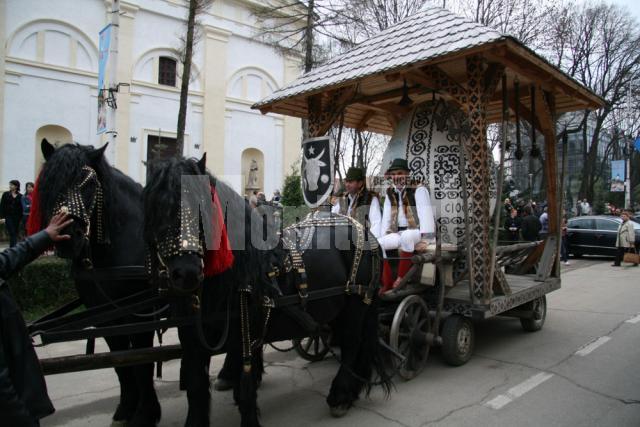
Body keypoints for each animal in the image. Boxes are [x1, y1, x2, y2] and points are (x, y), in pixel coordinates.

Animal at [30, 140, 161, 424]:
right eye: (50, 181)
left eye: (88, 183)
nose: (68, 236)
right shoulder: (104, 316)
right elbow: (120, 361)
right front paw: (127, 407)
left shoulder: (141, 314)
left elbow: (142, 361)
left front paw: (146, 412)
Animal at [142, 156, 390, 427]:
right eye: (155, 207)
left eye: (203, 207)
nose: (186, 273)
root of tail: (363, 230)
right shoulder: (192, 340)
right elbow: (196, 387)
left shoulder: (247, 338)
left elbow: (245, 389)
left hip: (356, 304)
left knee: (352, 344)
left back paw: (341, 395)